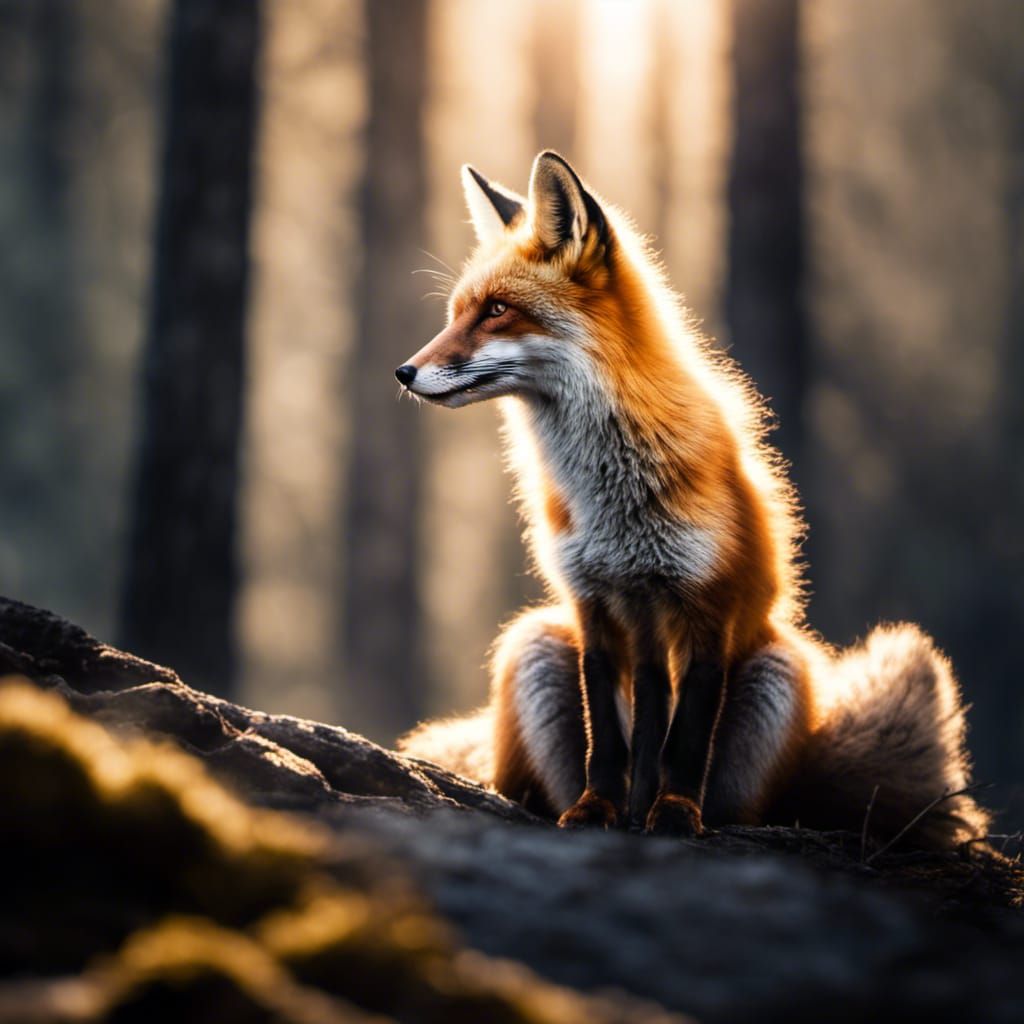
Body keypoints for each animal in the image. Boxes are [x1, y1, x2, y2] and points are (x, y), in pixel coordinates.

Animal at [395, 150, 990, 849]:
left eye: (496, 310)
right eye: (457, 312)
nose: (403, 372)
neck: (614, 498)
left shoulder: (709, 608)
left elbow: (683, 743)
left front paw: (675, 814)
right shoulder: (592, 604)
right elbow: (608, 741)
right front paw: (596, 810)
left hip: (777, 672)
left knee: (735, 800)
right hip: (535, 644)